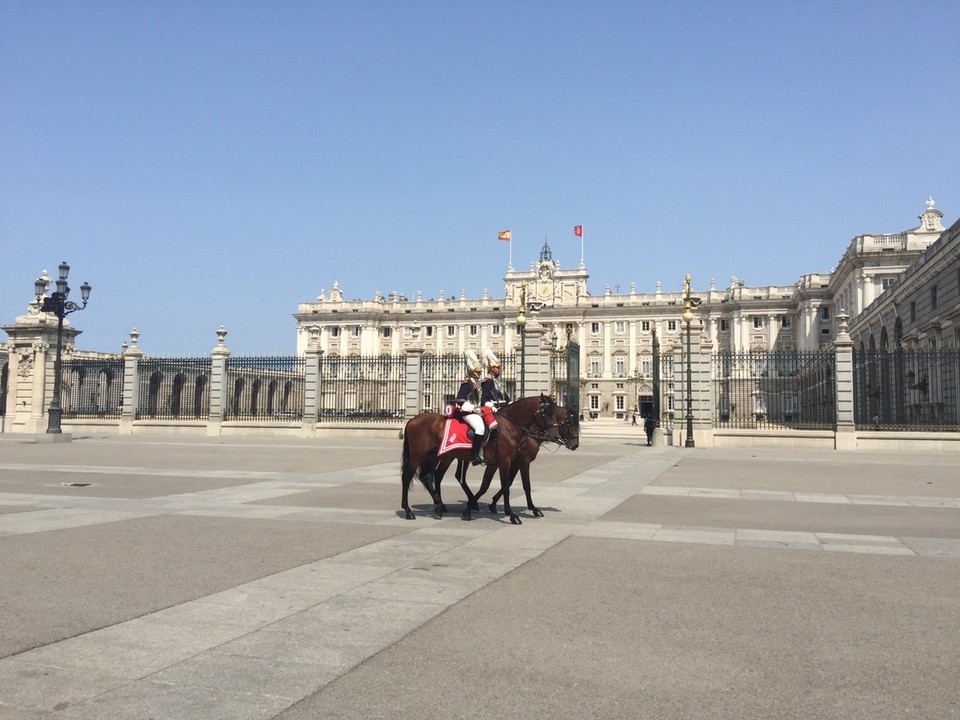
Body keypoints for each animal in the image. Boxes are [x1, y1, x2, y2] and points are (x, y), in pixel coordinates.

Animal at [400, 394, 564, 524]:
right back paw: (408, 511)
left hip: (434, 456)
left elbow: (488, 485)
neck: (508, 427)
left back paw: (439, 507)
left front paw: (469, 510)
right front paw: (512, 515)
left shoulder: (499, 462)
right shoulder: (505, 461)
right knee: (408, 477)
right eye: (546, 413)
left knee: (427, 477)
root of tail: (412, 420)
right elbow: (506, 486)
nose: (555, 436)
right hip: (418, 456)